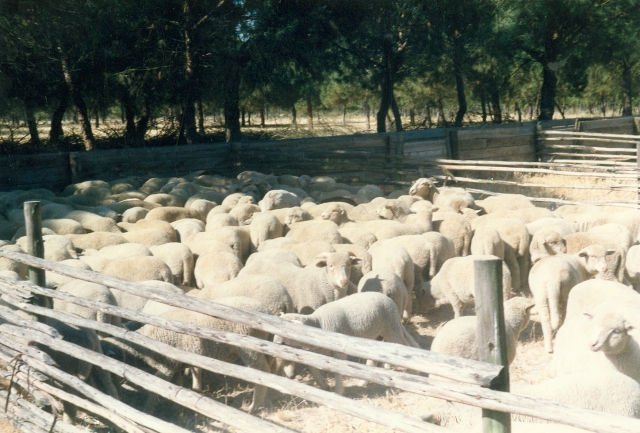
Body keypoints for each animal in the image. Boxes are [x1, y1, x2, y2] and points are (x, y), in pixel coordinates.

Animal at [100, 296, 272, 412]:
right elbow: (178, 385)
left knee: (262, 372)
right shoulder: (177, 366)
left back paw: (255, 406)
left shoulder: (166, 367)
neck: (144, 345)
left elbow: (154, 390)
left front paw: (148, 410)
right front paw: (179, 406)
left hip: (250, 349)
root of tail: (265, 309)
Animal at [276, 290, 420, 394]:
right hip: (379, 332)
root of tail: (390, 300)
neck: (318, 323)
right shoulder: (316, 350)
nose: (277, 344)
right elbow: (311, 366)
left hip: (391, 328)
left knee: (404, 346)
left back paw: (413, 371)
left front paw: (338, 391)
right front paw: (324, 385)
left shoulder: (338, 351)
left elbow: (337, 370)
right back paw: (363, 382)